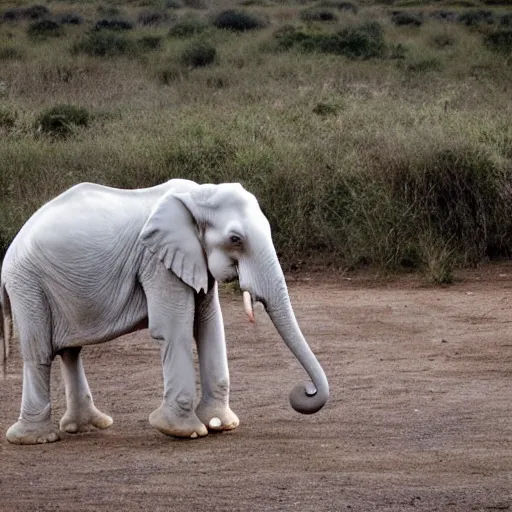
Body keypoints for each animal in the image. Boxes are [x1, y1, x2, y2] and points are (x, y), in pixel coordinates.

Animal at [0, 179, 330, 444]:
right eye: (235, 239)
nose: (305, 391)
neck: (197, 195)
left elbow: (210, 325)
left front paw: (220, 424)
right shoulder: (156, 260)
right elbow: (175, 328)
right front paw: (185, 431)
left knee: (71, 350)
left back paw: (89, 426)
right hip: (27, 283)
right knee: (40, 352)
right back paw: (35, 439)